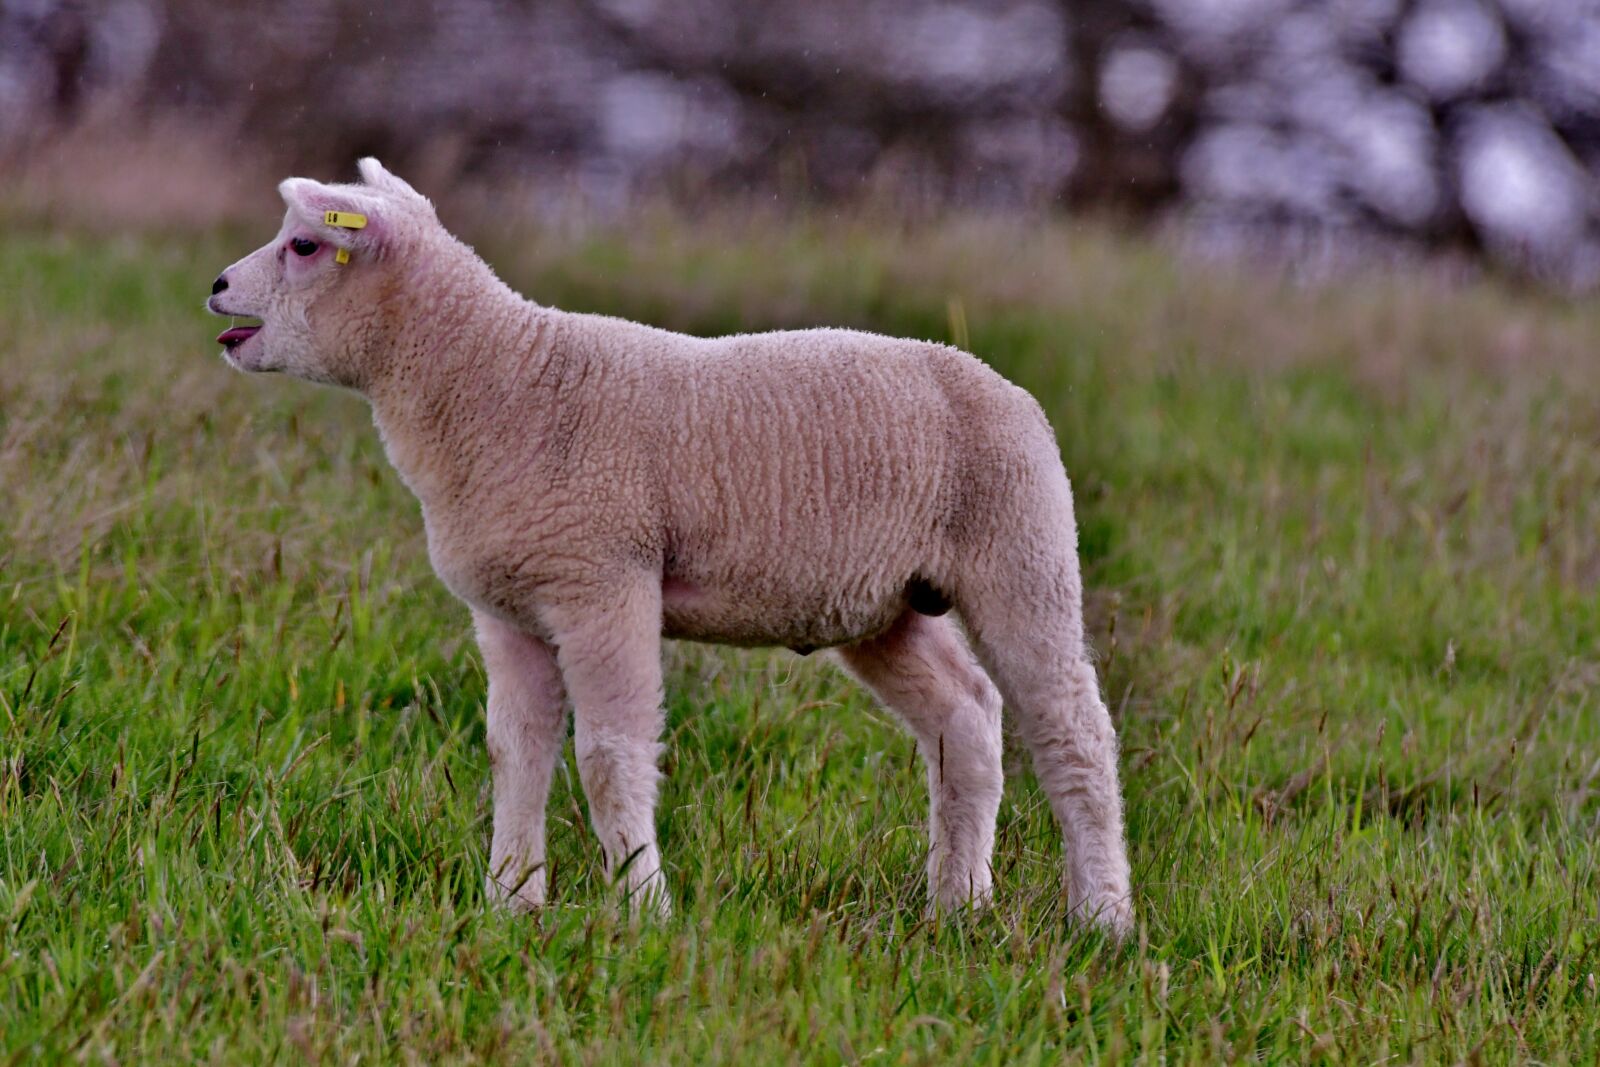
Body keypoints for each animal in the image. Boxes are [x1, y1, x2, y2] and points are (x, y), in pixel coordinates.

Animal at [205, 158, 1135, 935]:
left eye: (304, 243)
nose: (216, 287)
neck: (496, 382)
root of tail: (1010, 389)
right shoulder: (512, 606)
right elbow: (516, 752)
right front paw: (511, 900)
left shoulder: (603, 579)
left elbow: (608, 755)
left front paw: (642, 908)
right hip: (888, 604)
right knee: (966, 717)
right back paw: (958, 903)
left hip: (1021, 548)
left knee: (1074, 729)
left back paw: (1103, 918)